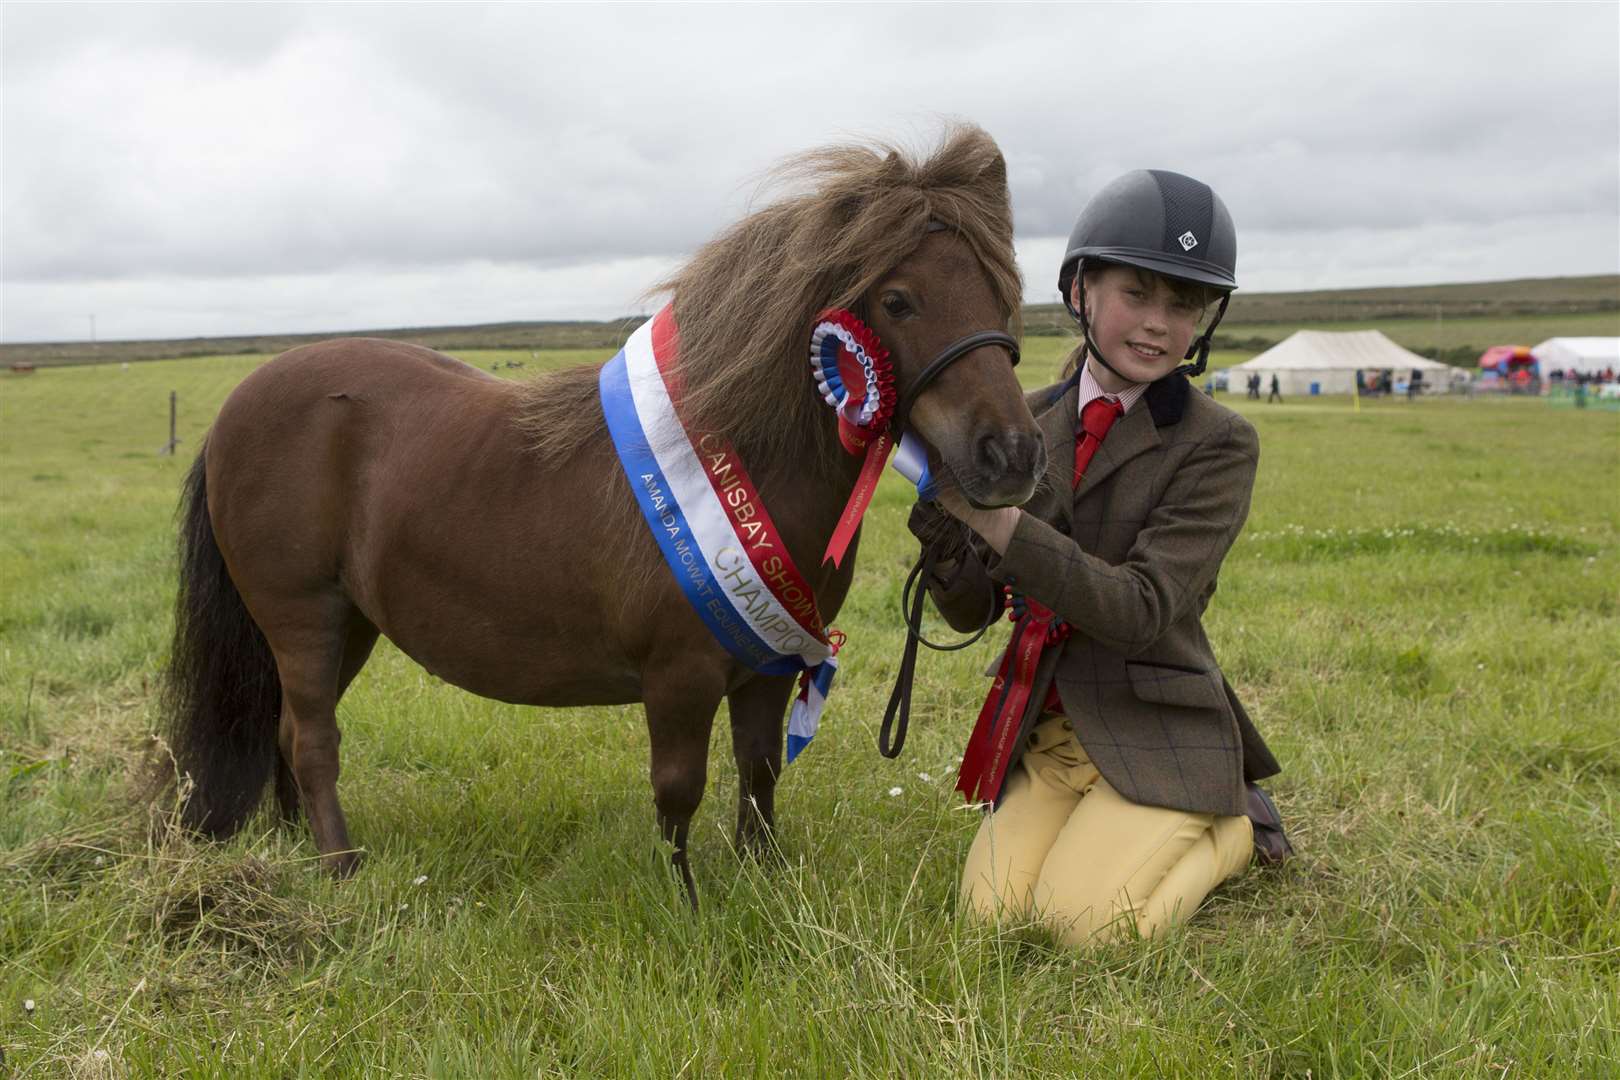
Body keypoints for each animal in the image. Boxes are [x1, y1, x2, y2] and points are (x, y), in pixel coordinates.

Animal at [164, 124, 1043, 906]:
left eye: (1005, 291)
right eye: (898, 299)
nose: (1012, 455)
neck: (739, 453)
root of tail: (235, 407)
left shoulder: (769, 660)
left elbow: (758, 772)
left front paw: (762, 884)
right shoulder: (679, 675)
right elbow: (679, 790)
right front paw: (687, 904)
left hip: (348, 623)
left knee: (285, 732)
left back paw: (296, 850)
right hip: (302, 616)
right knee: (313, 741)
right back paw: (342, 870)